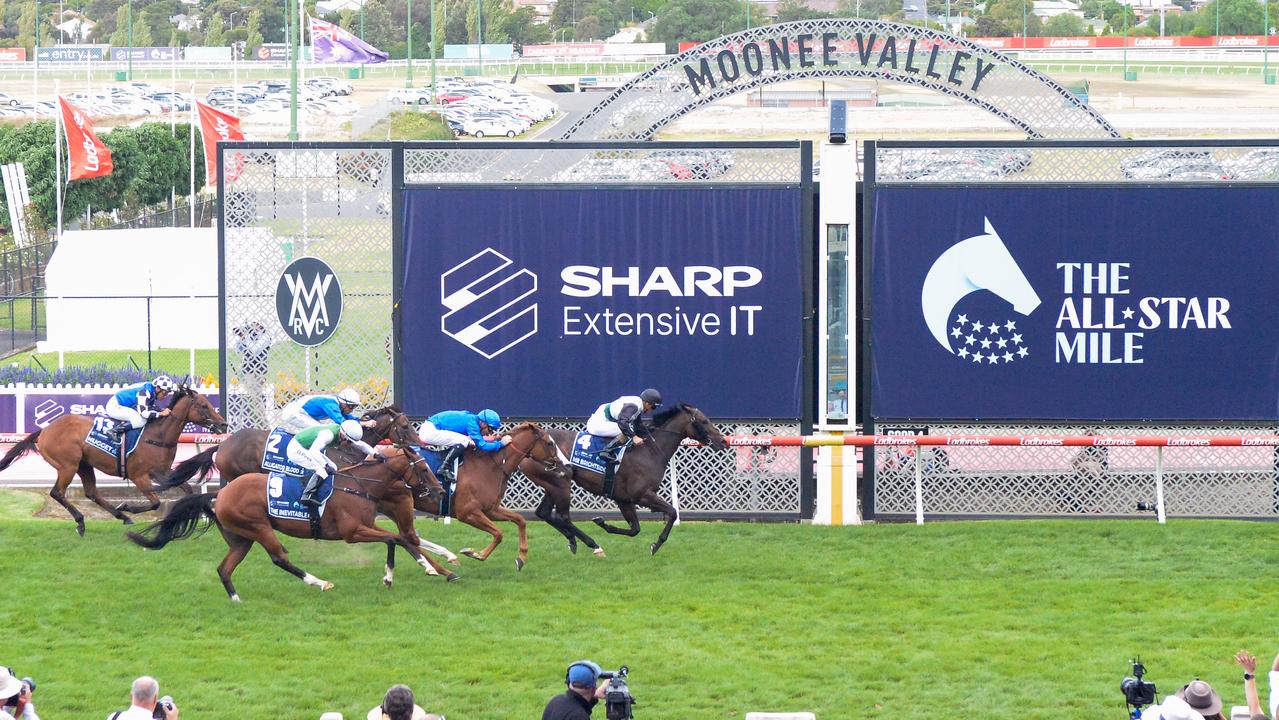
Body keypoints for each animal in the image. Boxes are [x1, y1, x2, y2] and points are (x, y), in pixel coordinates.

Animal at [0, 388, 226, 534]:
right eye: (204, 405)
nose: (223, 424)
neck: (157, 436)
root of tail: (45, 430)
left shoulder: (164, 473)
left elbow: (188, 491)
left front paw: (209, 516)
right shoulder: (139, 475)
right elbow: (155, 502)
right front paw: (127, 506)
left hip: (84, 464)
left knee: (91, 492)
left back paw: (121, 517)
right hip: (67, 465)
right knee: (57, 492)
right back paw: (82, 521)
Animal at [128, 447, 450, 601]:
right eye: (423, 468)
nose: (439, 491)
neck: (360, 485)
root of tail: (220, 494)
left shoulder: (366, 527)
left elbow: (400, 539)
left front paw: (433, 567)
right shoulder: (352, 532)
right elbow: (394, 539)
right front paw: (389, 577)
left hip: (241, 538)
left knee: (224, 569)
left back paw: (236, 600)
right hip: (258, 527)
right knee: (279, 557)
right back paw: (319, 582)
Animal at [396, 422, 567, 575]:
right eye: (550, 443)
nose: (564, 466)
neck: (489, 465)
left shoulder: (491, 510)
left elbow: (520, 520)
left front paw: (521, 558)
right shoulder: (468, 512)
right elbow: (498, 533)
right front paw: (475, 553)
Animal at [514, 406, 726, 557]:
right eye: (704, 421)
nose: (723, 441)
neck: (650, 451)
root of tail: (526, 448)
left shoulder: (623, 498)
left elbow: (635, 529)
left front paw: (604, 524)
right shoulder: (642, 495)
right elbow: (672, 512)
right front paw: (656, 545)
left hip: (552, 483)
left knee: (544, 513)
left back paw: (573, 541)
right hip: (560, 483)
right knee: (563, 516)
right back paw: (593, 545)